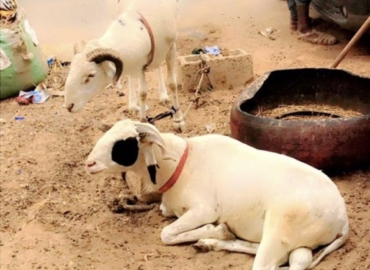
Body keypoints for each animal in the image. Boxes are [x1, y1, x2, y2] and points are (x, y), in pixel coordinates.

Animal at [64, 0, 185, 130]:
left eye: (91, 75)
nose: (69, 106)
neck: (138, 25)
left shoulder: (171, 48)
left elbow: (172, 84)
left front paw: (178, 119)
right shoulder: (140, 65)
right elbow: (143, 93)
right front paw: (144, 122)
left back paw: (163, 96)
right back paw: (133, 104)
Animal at [84, 119, 350, 270]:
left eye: (125, 143)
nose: (89, 164)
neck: (183, 163)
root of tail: (343, 219)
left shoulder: (204, 210)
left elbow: (166, 234)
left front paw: (213, 229)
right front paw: (216, 233)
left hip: (281, 226)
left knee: (270, 265)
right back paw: (210, 243)